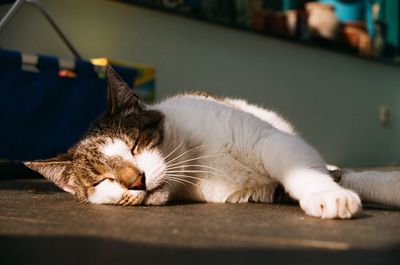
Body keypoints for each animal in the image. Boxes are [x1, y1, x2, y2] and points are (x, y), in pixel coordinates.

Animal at [25, 66, 400, 219]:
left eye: (133, 145)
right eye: (103, 179)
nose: (137, 181)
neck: (197, 163)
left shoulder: (270, 141)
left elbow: (316, 173)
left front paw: (330, 196)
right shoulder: (263, 190)